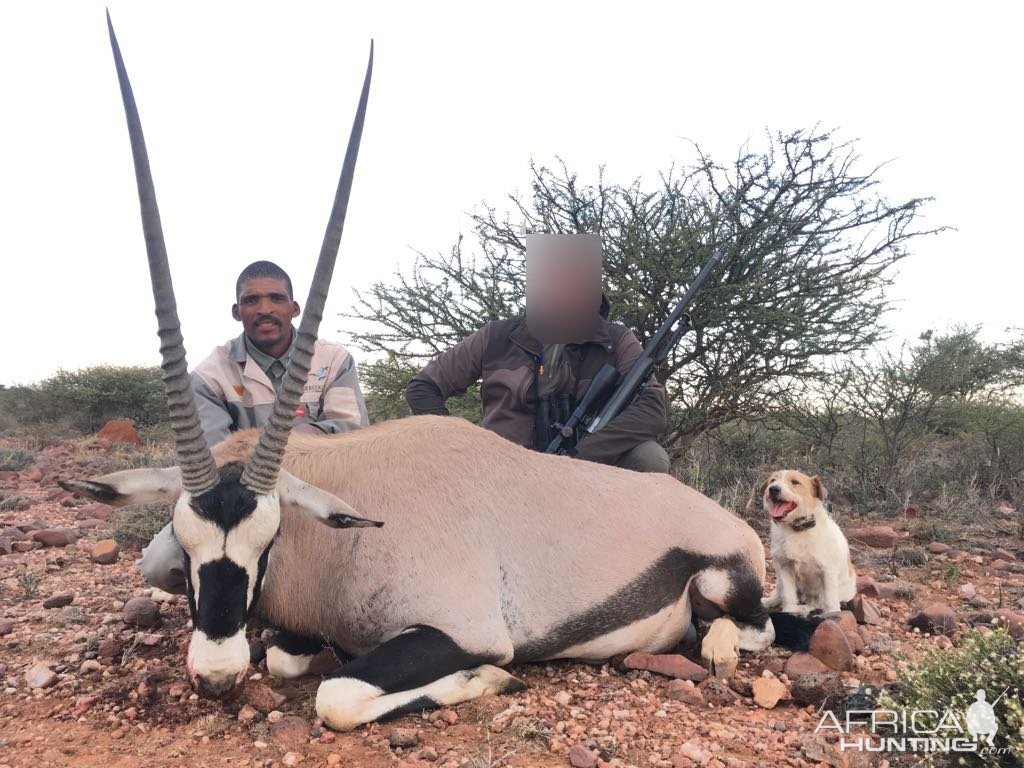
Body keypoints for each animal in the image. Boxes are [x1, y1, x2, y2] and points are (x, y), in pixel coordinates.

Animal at [761, 473, 856, 618]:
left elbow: (830, 600)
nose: (773, 489)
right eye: (772, 480)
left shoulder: (828, 571)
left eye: (795, 482)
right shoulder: (785, 567)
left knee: (818, 603)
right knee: (780, 592)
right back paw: (770, 601)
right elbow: (788, 595)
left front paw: (833, 614)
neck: (798, 530)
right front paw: (789, 611)